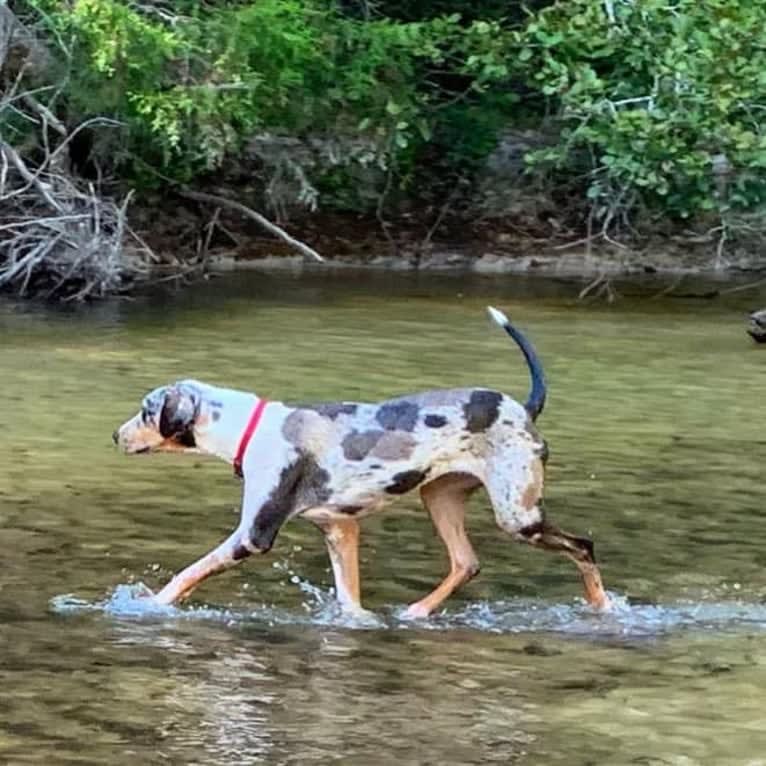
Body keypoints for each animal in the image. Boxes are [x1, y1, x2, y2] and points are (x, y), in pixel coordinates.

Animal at [112, 306, 612, 616]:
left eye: (145, 410)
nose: (115, 435)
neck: (251, 429)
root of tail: (524, 408)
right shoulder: (340, 529)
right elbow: (350, 602)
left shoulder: (253, 537)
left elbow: (187, 573)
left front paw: (149, 605)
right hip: (440, 498)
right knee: (466, 563)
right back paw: (417, 611)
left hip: (518, 516)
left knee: (583, 547)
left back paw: (603, 607)